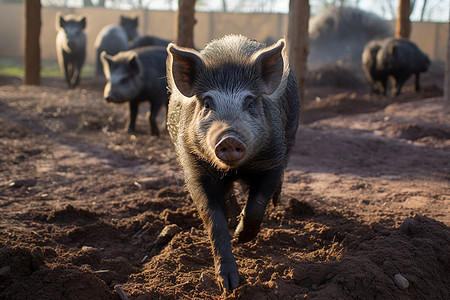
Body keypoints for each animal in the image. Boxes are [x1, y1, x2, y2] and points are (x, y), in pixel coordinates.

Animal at [164, 34, 298, 290]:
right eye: (207, 103)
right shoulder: (195, 168)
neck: (235, 170)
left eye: (250, 103)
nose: (229, 137)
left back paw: (273, 203)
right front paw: (229, 284)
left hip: (292, 133)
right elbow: (214, 220)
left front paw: (240, 237)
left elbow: (257, 204)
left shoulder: (272, 159)